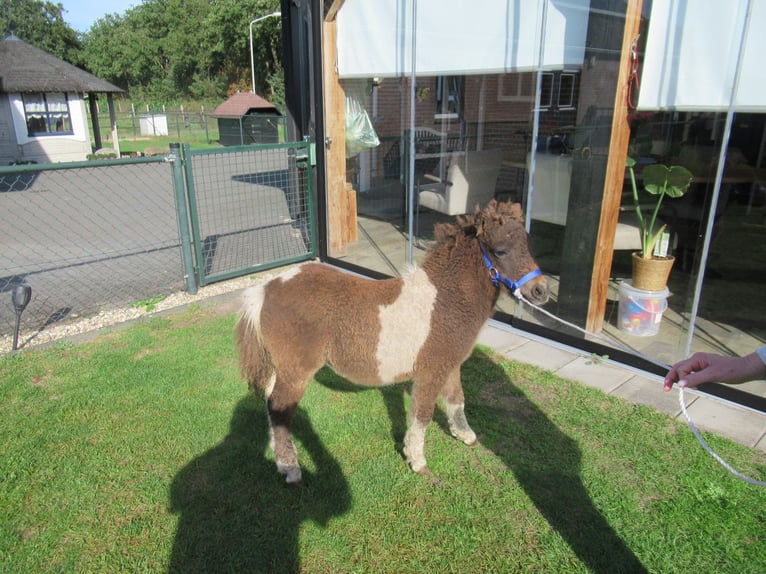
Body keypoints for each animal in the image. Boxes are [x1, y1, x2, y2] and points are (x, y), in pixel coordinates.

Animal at [236, 200, 549, 484]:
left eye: (528, 245)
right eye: (500, 251)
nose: (541, 291)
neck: (444, 300)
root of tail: (265, 289)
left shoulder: (451, 365)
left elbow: (457, 400)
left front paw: (465, 435)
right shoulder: (430, 371)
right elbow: (422, 415)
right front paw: (417, 461)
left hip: (280, 367)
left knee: (270, 403)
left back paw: (277, 455)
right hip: (297, 371)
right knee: (279, 407)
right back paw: (291, 469)